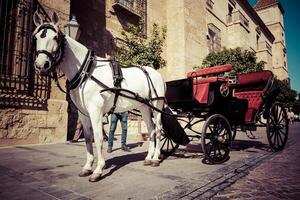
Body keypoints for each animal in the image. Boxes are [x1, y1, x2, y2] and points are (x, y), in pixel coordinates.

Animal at [32, 11, 166, 182]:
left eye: (55, 37)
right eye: (36, 37)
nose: (41, 65)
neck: (86, 71)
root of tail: (156, 73)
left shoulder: (95, 111)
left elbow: (98, 137)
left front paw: (98, 169)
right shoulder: (83, 113)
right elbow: (88, 138)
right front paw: (87, 167)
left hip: (157, 105)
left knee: (159, 129)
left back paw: (155, 158)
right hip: (144, 107)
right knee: (151, 130)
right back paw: (149, 157)